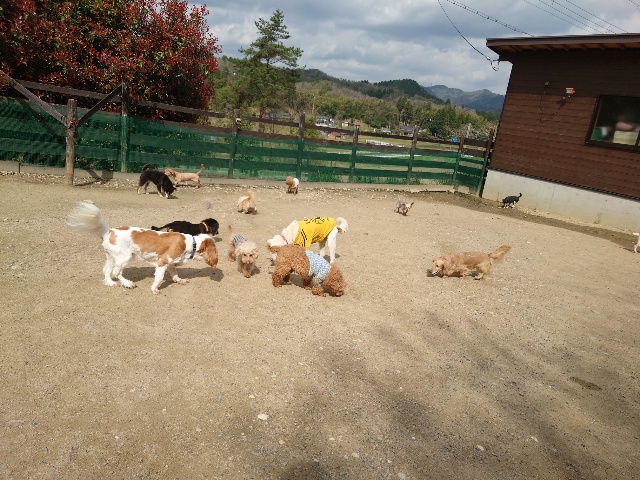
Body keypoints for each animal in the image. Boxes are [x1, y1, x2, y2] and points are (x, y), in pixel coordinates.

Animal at [67, 201, 218, 294]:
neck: (191, 242)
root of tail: (109, 230)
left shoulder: (171, 264)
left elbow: (175, 275)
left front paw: (180, 281)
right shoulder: (162, 262)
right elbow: (159, 278)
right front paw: (154, 289)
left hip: (112, 257)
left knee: (107, 271)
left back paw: (110, 283)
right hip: (124, 258)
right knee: (116, 272)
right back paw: (128, 283)